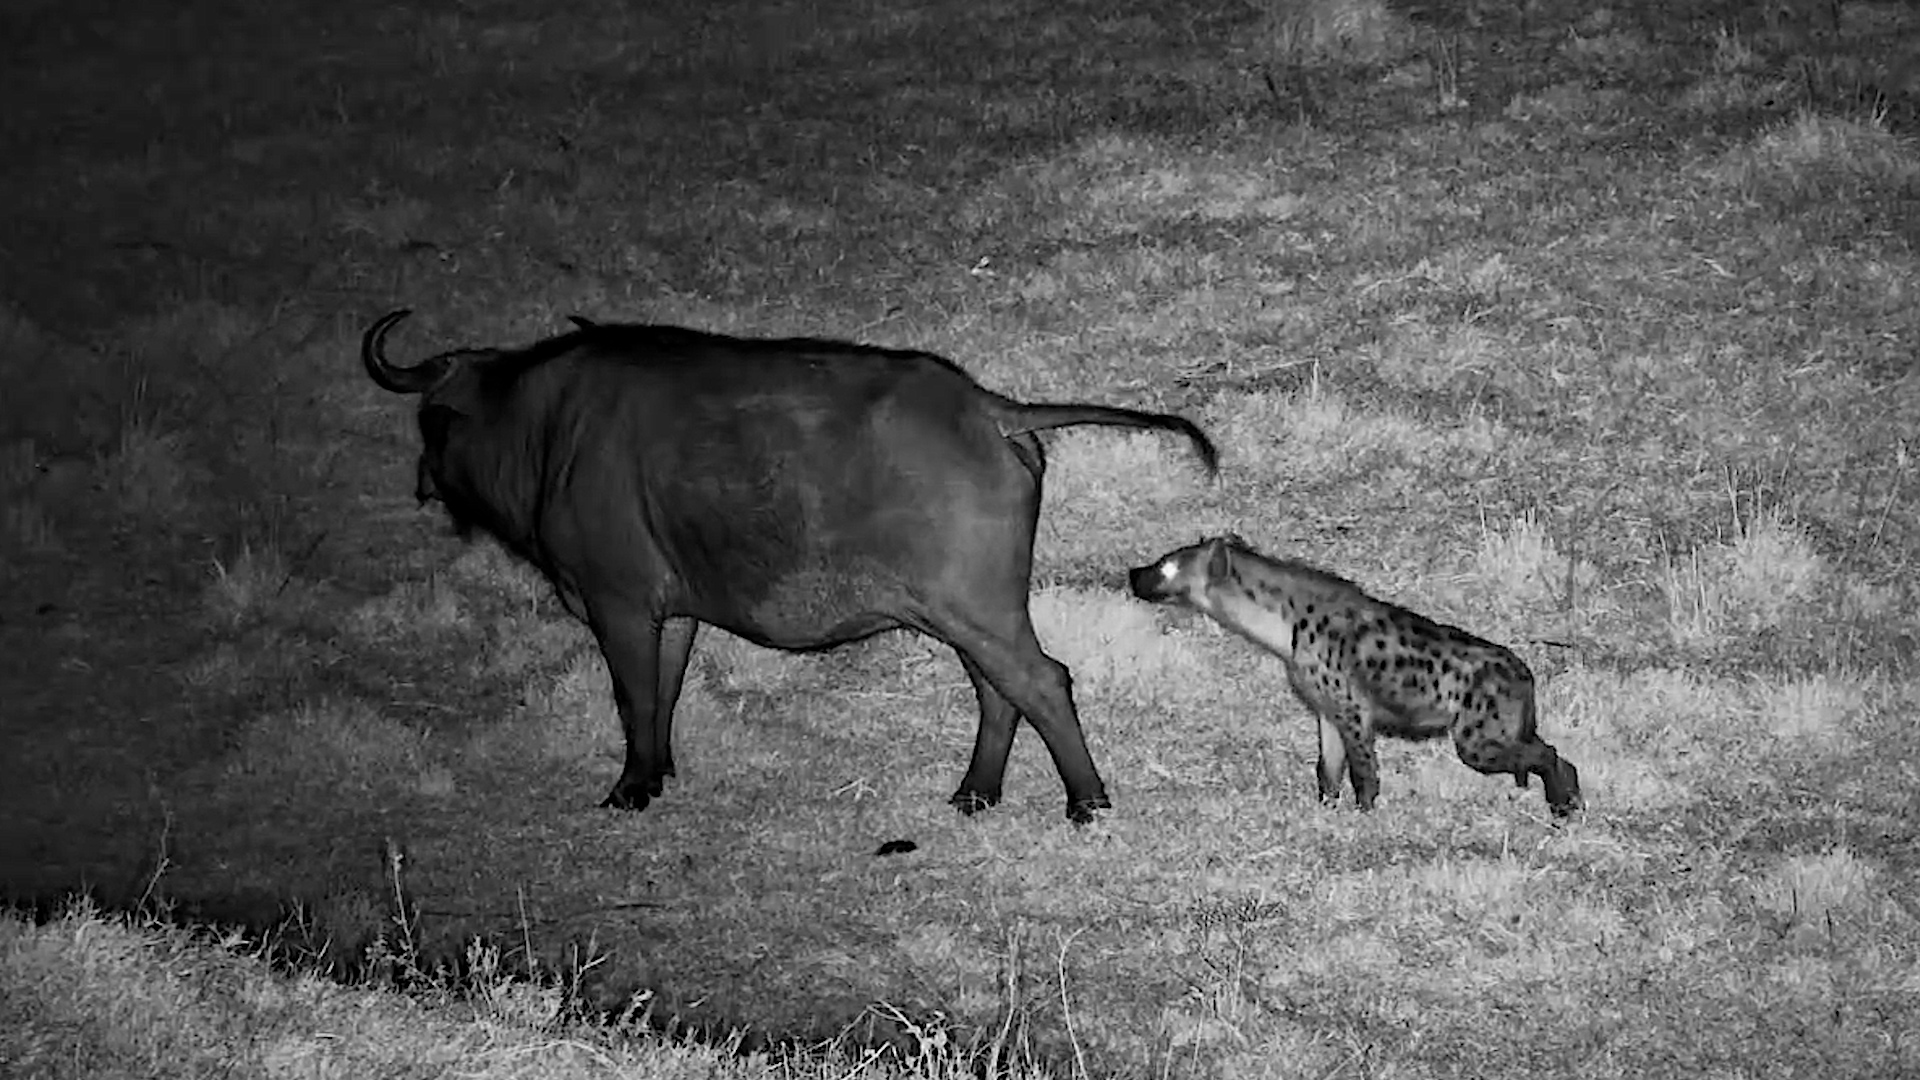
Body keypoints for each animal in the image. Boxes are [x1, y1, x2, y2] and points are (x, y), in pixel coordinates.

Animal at [361, 310, 1217, 822]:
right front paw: (658, 772)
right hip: (968, 615)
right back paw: (977, 791)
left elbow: (632, 696)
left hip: (977, 610)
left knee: (1042, 681)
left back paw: (1086, 801)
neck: (545, 430)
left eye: (430, 426)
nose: (420, 485)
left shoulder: (618, 606)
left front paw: (630, 788)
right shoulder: (672, 614)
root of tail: (988, 408)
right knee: (998, 690)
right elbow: (663, 692)